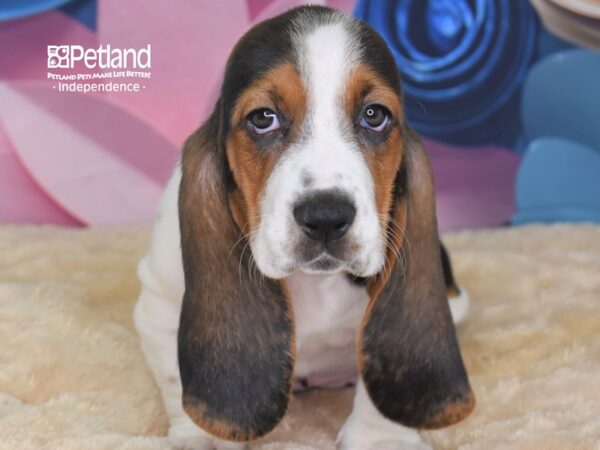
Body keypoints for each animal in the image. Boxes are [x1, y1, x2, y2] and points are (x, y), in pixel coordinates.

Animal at [134, 5, 476, 448]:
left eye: (374, 116)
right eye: (263, 118)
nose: (326, 217)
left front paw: (381, 437)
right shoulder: (157, 302)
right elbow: (174, 373)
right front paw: (204, 438)